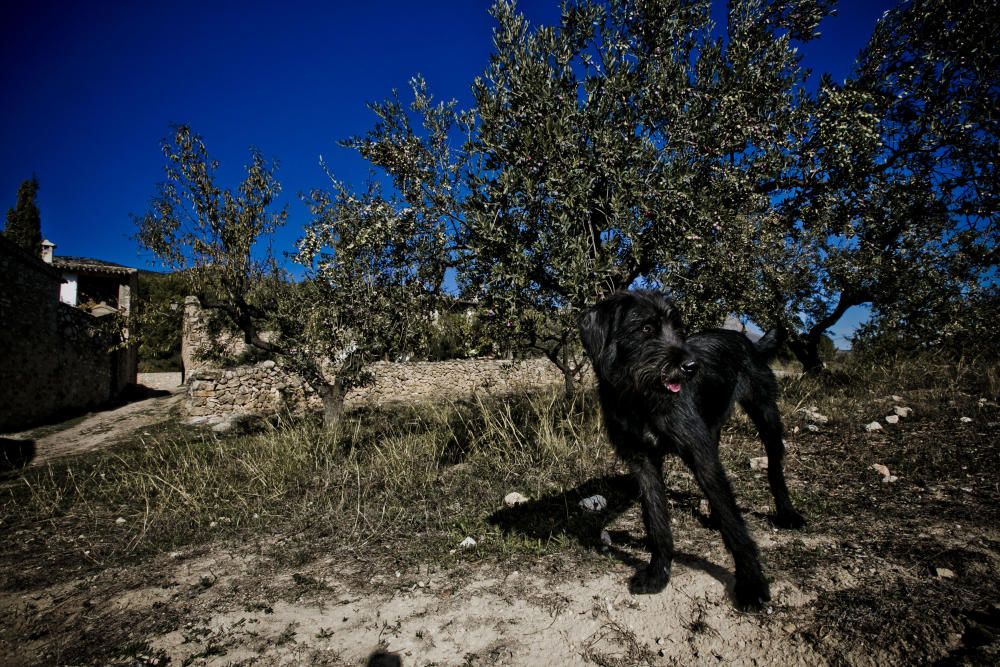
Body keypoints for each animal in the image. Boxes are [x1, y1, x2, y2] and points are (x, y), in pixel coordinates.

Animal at [580, 290, 804, 612]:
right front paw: (658, 574)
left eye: (678, 328)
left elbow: (734, 522)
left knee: (774, 467)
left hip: (766, 415)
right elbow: (657, 521)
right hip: (714, 429)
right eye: (646, 328)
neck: (639, 400)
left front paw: (752, 584)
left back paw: (787, 513)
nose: (691, 367)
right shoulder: (642, 461)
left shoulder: (699, 453)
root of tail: (748, 341)